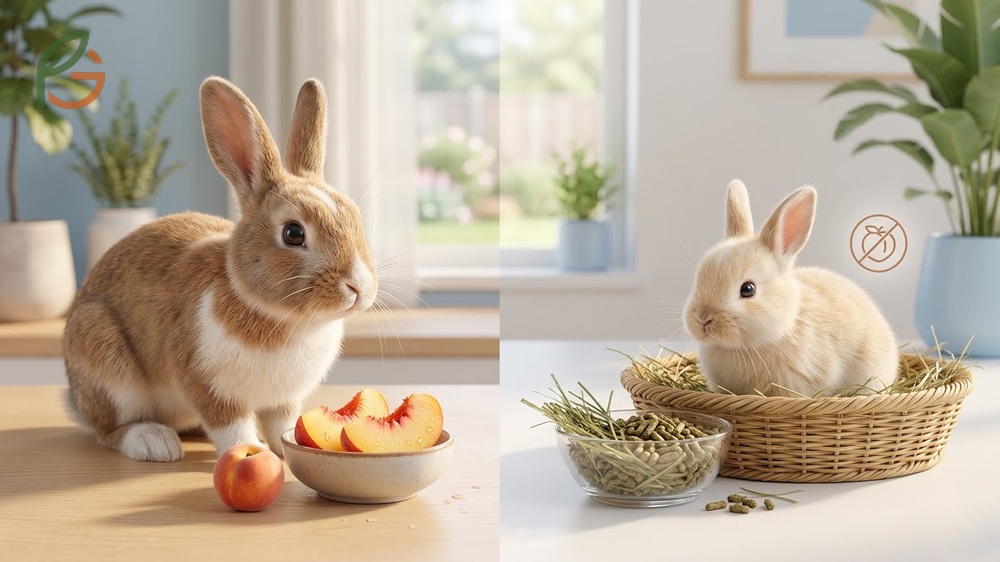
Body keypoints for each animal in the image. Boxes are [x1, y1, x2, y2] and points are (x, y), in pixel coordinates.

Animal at [62, 77, 378, 462]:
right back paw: (155, 442)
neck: (283, 318)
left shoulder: (282, 400)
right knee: (108, 430)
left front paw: (288, 448)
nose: (358, 287)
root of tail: (75, 400)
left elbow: (281, 423)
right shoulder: (208, 385)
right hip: (105, 361)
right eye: (293, 233)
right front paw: (251, 452)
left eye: (355, 218)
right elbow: (231, 427)